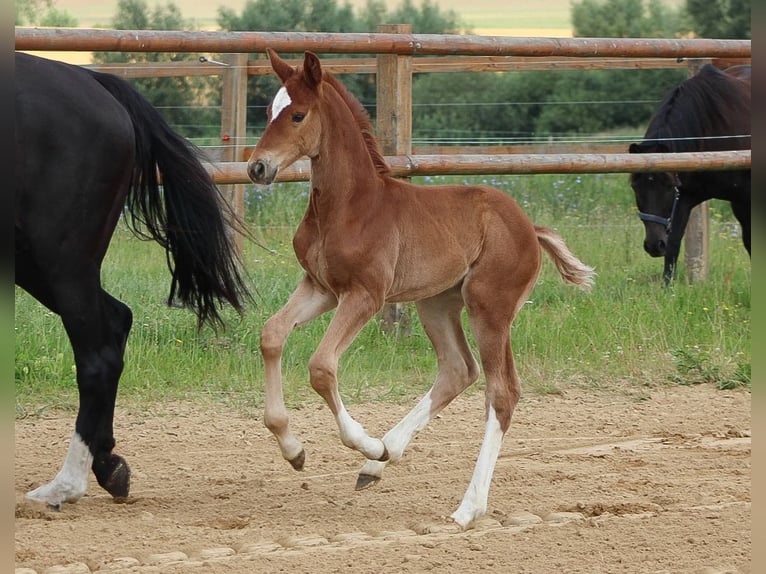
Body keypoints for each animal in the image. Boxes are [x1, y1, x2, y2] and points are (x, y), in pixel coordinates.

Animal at [15, 54, 250, 510]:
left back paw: (65, 486)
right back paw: (108, 467)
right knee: (117, 320)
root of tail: (93, 80)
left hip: (60, 259)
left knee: (97, 356)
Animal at [246, 50, 592, 532]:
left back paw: (466, 506)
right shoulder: (321, 287)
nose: (257, 168)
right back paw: (379, 462)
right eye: (268, 111)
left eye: (297, 114)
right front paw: (294, 450)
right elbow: (272, 335)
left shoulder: (365, 295)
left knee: (501, 393)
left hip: (490, 307)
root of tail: (529, 226)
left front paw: (364, 441)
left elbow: (321, 367)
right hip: (436, 304)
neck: (349, 205)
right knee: (458, 370)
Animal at [632, 64, 752, 284]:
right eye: (635, 187)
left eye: (668, 187)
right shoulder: (684, 199)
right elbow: (673, 245)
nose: (654, 245)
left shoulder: (744, 199)